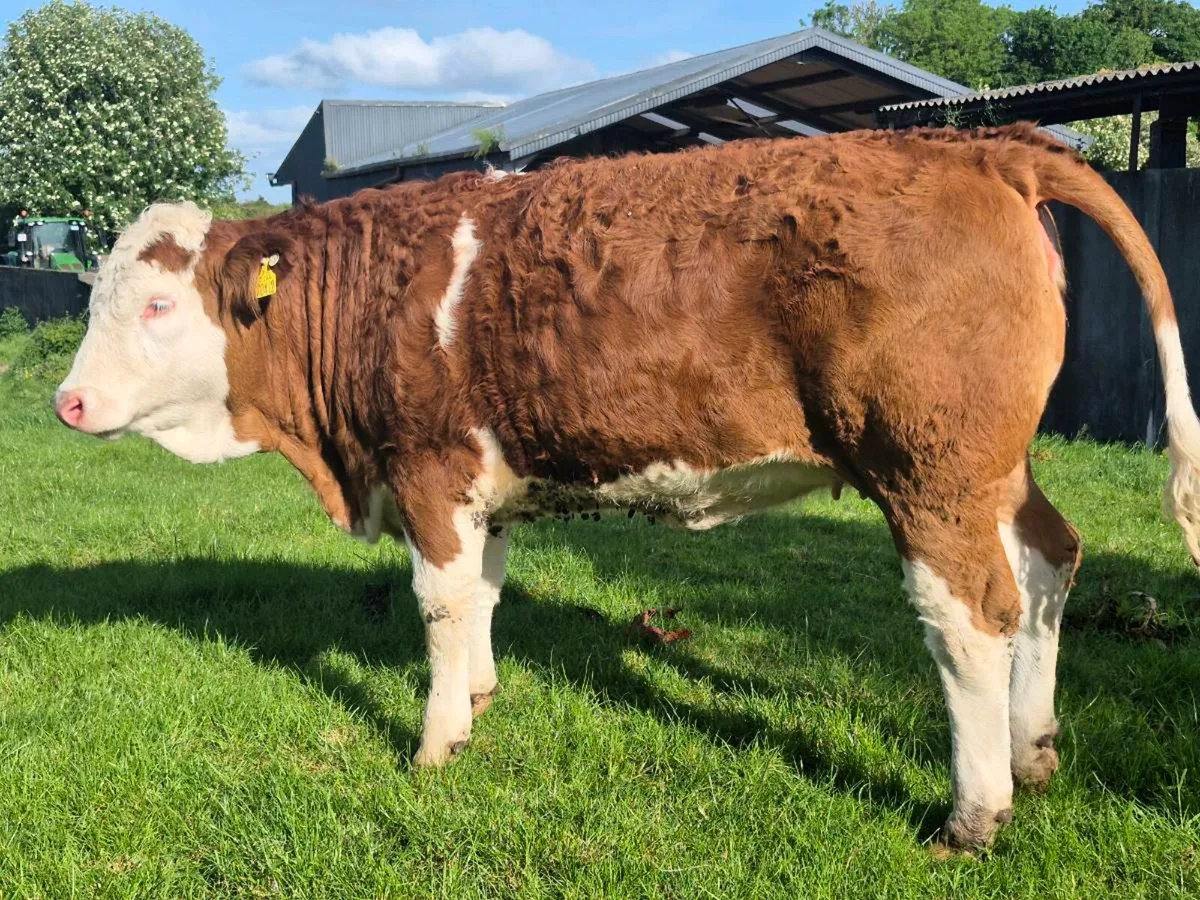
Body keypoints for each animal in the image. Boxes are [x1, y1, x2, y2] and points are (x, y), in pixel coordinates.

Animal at [53, 124, 1200, 849]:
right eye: (98, 294)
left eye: (156, 305)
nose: (66, 402)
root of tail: (976, 144)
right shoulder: (486, 483)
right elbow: (485, 593)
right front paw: (481, 696)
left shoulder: (429, 469)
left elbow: (439, 604)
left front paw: (435, 742)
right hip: (995, 466)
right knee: (1050, 564)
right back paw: (1034, 750)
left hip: (930, 472)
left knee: (971, 618)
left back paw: (974, 813)